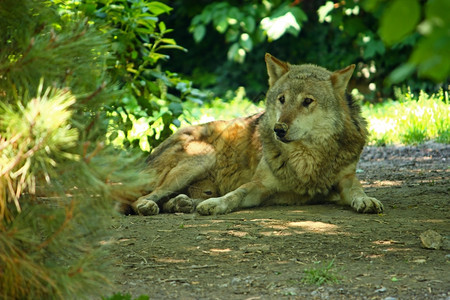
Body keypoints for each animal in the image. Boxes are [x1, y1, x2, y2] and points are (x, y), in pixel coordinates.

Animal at [119, 53, 384, 216]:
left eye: (307, 101)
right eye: (282, 99)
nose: (279, 129)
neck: (306, 159)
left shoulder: (346, 179)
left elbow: (357, 190)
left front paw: (366, 201)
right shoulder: (260, 185)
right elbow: (236, 194)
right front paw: (215, 205)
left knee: (167, 201)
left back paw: (182, 203)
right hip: (201, 158)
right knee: (139, 199)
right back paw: (151, 205)